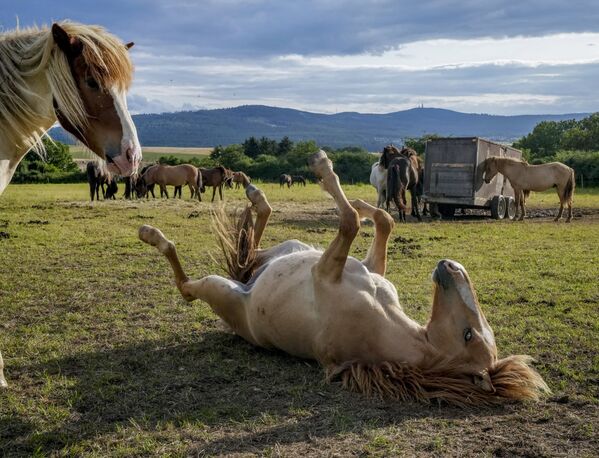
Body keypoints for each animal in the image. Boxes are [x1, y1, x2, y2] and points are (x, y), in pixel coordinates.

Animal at [139, 150, 548, 404]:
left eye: (469, 335)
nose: (450, 268)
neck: (387, 322)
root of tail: (245, 285)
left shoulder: (325, 271)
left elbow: (350, 220)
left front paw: (323, 168)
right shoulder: (366, 268)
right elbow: (382, 220)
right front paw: (367, 200)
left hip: (219, 289)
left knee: (188, 285)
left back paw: (152, 234)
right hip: (286, 249)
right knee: (253, 243)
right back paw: (255, 195)